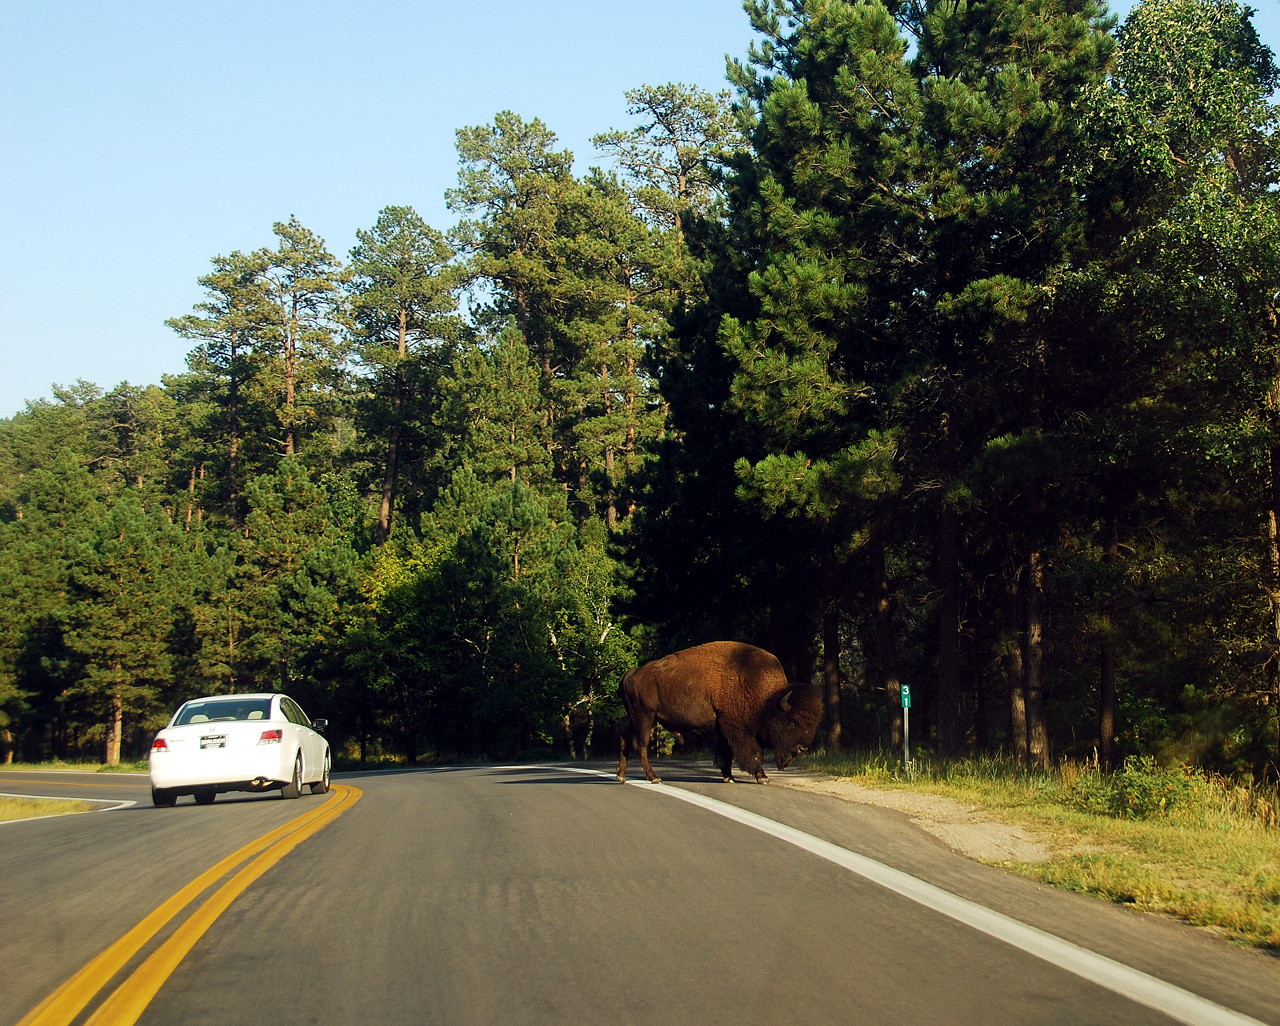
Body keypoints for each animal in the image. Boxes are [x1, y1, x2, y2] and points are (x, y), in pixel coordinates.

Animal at [616, 639, 819, 782]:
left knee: (625, 738)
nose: (802, 748)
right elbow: (751, 753)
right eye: (792, 722)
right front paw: (762, 777)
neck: (767, 701)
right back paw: (654, 778)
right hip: (645, 717)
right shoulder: (738, 730)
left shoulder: (723, 728)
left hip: (636, 718)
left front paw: (729, 777)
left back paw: (621, 776)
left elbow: (725, 753)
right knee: (640, 745)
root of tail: (631, 673)